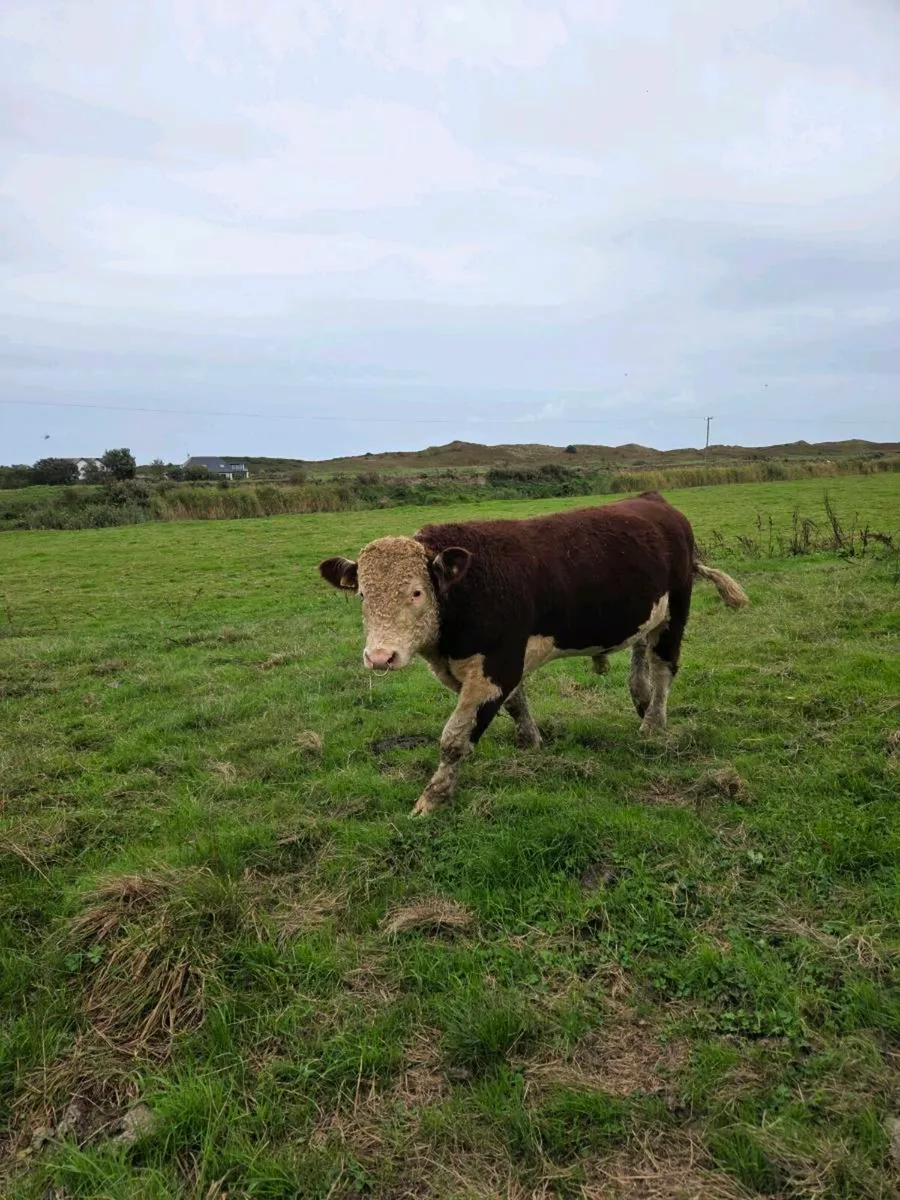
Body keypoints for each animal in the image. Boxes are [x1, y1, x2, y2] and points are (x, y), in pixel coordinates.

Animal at [319, 492, 748, 816]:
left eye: (416, 592)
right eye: (362, 595)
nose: (380, 657)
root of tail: (652, 499)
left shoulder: (498, 665)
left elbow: (454, 738)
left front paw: (432, 799)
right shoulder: (500, 663)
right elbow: (515, 703)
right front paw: (531, 742)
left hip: (676, 609)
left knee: (664, 666)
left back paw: (652, 724)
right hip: (647, 612)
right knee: (642, 650)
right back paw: (640, 701)